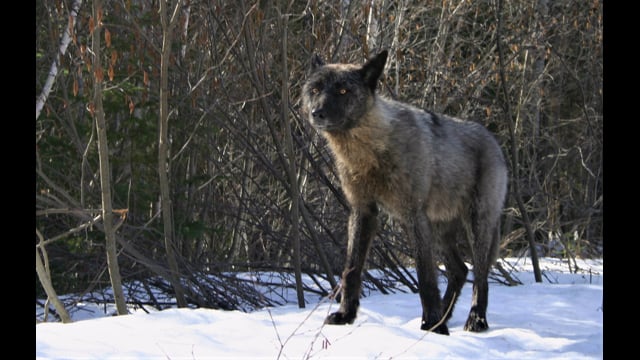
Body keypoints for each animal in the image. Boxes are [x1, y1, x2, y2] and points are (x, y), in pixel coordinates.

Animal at [302, 50, 508, 334]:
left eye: (343, 90)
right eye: (315, 89)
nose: (317, 113)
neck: (369, 151)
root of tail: (494, 142)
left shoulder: (413, 215)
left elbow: (425, 275)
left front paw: (431, 323)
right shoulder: (362, 211)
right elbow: (351, 269)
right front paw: (345, 315)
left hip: (476, 225)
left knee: (480, 275)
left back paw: (475, 320)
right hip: (440, 231)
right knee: (459, 271)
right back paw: (444, 316)